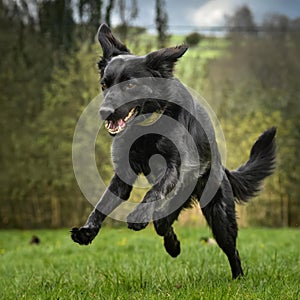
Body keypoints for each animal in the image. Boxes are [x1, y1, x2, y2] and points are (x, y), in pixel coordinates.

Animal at [71, 24, 276, 278]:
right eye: (104, 85)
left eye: (130, 84)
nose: (104, 112)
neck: (146, 126)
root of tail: (222, 167)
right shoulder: (123, 175)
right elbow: (103, 203)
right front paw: (88, 230)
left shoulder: (175, 166)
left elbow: (154, 192)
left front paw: (138, 215)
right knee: (164, 224)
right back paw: (173, 245)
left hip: (220, 216)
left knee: (231, 250)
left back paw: (238, 278)